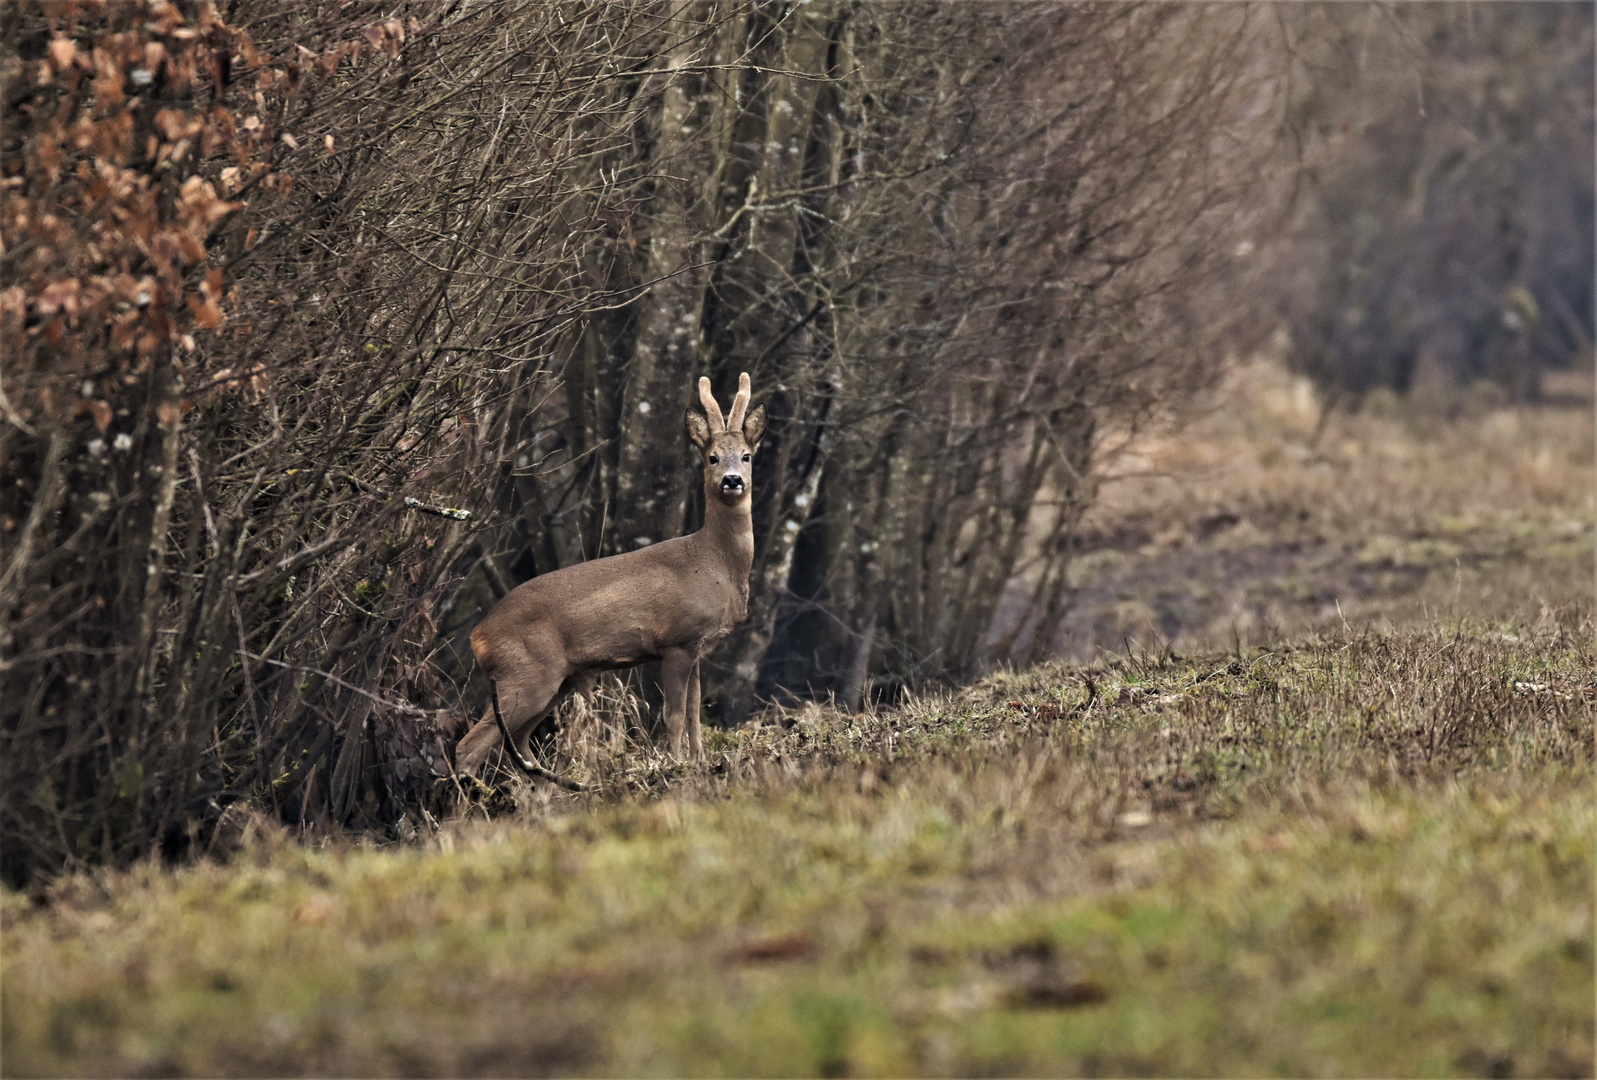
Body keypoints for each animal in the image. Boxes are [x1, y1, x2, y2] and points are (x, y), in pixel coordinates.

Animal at [456, 370, 766, 776]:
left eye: (747, 456)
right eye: (712, 457)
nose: (732, 480)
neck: (715, 563)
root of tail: (477, 635)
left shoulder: (698, 646)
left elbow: (696, 715)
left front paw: (699, 763)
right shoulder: (677, 640)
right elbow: (673, 716)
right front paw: (674, 766)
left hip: (554, 682)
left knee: (518, 744)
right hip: (523, 675)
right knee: (470, 746)